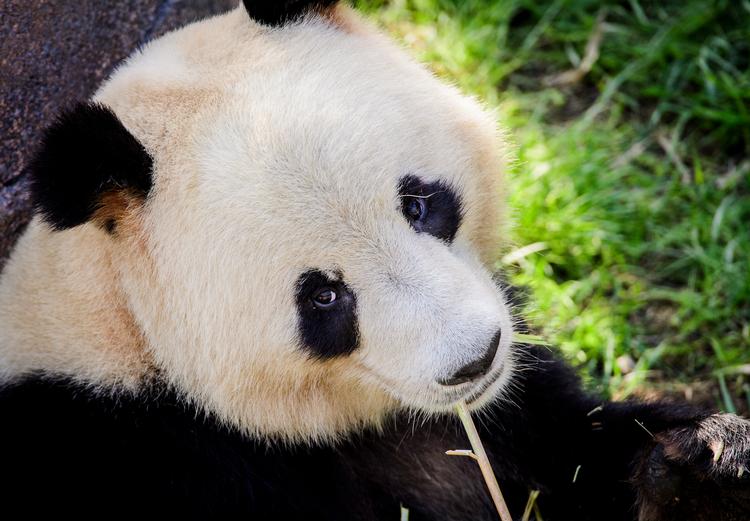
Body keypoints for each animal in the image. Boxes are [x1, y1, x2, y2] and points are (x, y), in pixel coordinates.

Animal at [0, 1, 748, 519]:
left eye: (418, 203)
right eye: (323, 296)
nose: (475, 358)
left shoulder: (503, 412)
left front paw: (704, 461)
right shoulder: (144, 454)